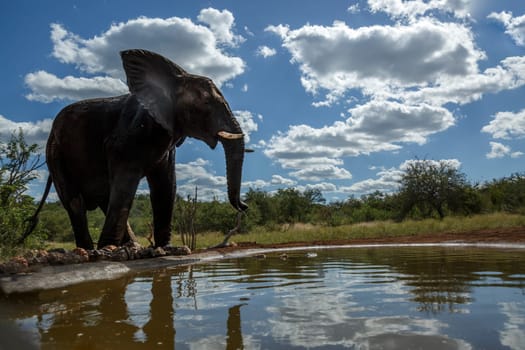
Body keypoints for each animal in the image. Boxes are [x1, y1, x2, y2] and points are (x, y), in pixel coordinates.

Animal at [25, 49, 251, 250]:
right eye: (206, 102)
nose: (244, 206)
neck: (172, 80)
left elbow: (166, 185)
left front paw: (166, 248)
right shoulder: (128, 135)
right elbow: (127, 184)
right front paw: (107, 251)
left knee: (104, 198)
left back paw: (128, 246)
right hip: (56, 154)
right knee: (76, 203)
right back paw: (94, 250)